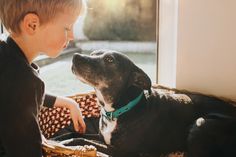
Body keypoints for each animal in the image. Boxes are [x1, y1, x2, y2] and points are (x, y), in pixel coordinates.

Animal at [71, 49, 236, 157]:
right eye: (92, 53)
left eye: (109, 60)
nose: (75, 56)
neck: (118, 110)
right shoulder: (101, 137)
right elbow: (77, 133)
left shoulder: (122, 152)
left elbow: (82, 139)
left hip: (200, 125)